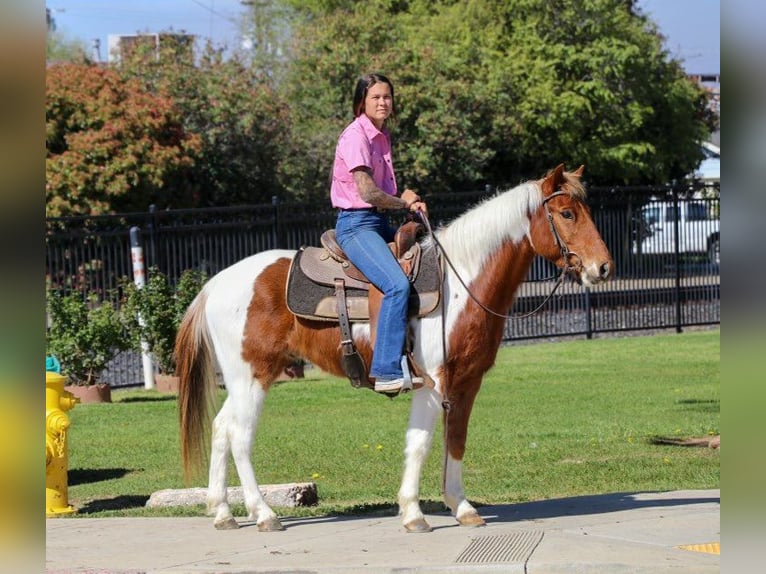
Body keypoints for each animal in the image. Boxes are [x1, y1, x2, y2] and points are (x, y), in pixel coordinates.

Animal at [177, 163, 616, 536]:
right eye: (566, 213)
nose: (603, 267)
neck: (462, 280)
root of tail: (214, 285)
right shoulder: (433, 382)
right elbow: (419, 443)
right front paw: (413, 513)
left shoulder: (467, 382)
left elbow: (456, 439)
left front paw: (462, 507)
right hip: (252, 376)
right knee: (240, 436)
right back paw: (264, 514)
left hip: (242, 380)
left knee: (221, 428)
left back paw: (223, 513)